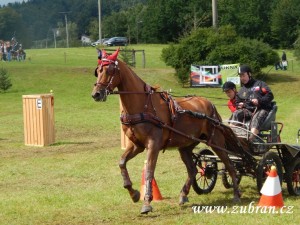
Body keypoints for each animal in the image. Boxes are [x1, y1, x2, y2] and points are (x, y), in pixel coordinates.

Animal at [91, 48, 244, 214]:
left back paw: (236, 194)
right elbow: (122, 163)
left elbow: (149, 171)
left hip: (216, 142)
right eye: (98, 70)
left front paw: (147, 202)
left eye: (110, 70)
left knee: (230, 165)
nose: (96, 94)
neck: (142, 105)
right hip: (185, 146)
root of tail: (210, 104)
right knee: (192, 170)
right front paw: (134, 193)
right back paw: (183, 195)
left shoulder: (153, 145)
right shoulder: (137, 145)